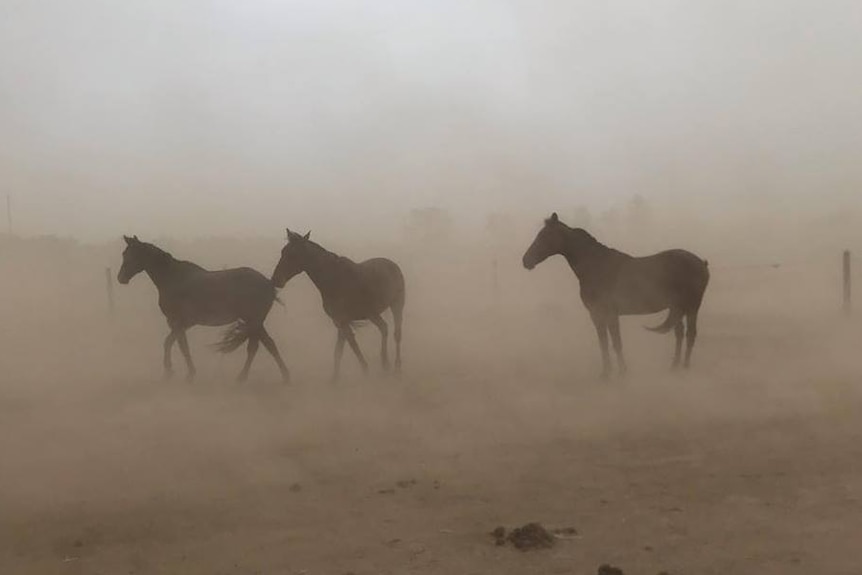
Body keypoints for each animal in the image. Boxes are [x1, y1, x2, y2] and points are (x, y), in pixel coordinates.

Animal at [116, 236, 292, 384]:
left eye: (133, 255)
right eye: (124, 254)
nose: (121, 278)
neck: (173, 278)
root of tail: (269, 283)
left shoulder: (177, 322)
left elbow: (177, 345)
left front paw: (182, 373)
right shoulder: (181, 323)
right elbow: (174, 343)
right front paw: (175, 372)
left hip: (253, 321)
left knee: (256, 347)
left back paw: (244, 377)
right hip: (255, 322)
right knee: (268, 345)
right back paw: (284, 376)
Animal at [272, 230, 406, 382]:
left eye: (293, 254)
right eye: (283, 251)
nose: (276, 280)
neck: (334, 279)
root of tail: (393, 264)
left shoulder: (343, 320)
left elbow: (352, 345)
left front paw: (365, 371)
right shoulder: (338, 321)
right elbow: (339, 351)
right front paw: (335, 379)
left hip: (396, 306)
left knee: (396, 334)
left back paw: (396, 367)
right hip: (373, 314)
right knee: (384, 328)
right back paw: (385, 364)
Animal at [524, 214, 712, 380]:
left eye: (545, 236)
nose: (525, 261)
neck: (597, 266)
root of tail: (702, 263)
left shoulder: (610, 314)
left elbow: (616, 343)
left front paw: (621, 373)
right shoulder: (597, 315)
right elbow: (604, 344)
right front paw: (606, 373)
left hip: (692, 307)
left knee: (690, 334)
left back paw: (685, 368)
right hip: (677, 308)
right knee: (679, 333)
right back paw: (674, 367)